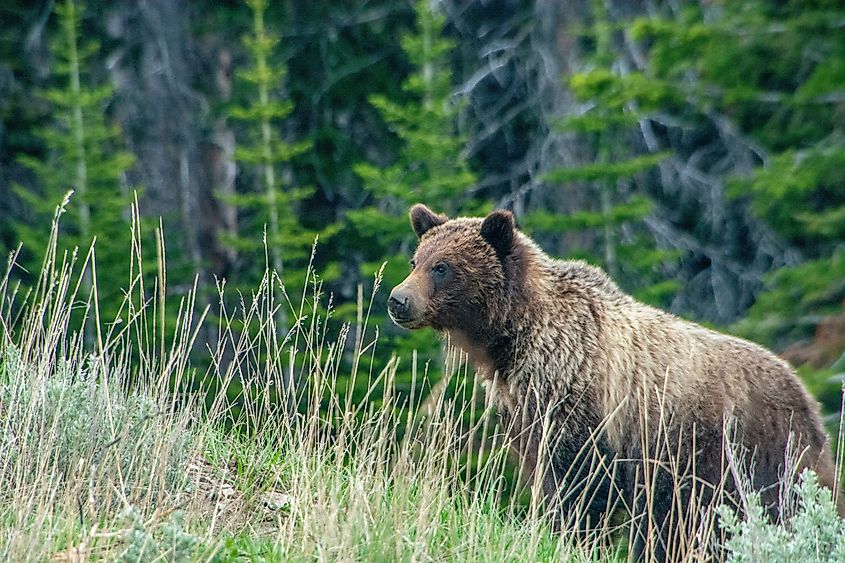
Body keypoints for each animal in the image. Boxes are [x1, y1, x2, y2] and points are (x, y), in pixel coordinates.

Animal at [387, 204, 840, 561]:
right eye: (416, 260)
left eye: (442, 267)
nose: (397, 299)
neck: (516, 339)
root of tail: (805, 395)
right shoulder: (526, 412)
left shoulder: (584, 406)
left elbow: (578, 489)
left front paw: (573, 538)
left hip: (750, 450)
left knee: (778, 508)